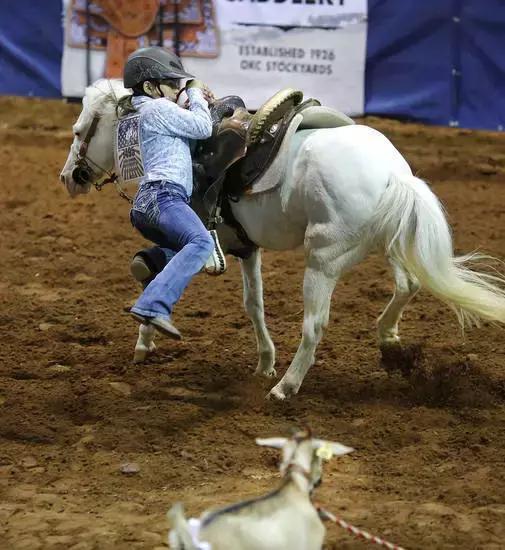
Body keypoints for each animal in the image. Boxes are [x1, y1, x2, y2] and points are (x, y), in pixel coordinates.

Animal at [61, 80, 504, 402]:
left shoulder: (196, 239)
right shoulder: (244, 248)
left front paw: (145, 338)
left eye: (81, 130)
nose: (69, 177)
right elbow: (253, 303)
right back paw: (389, 343)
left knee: (315, 325)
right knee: (407, 284)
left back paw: (286, 387)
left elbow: (156, 272)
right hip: (390, 242)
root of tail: (395, 175)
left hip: (323, 259)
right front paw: (263, 361)